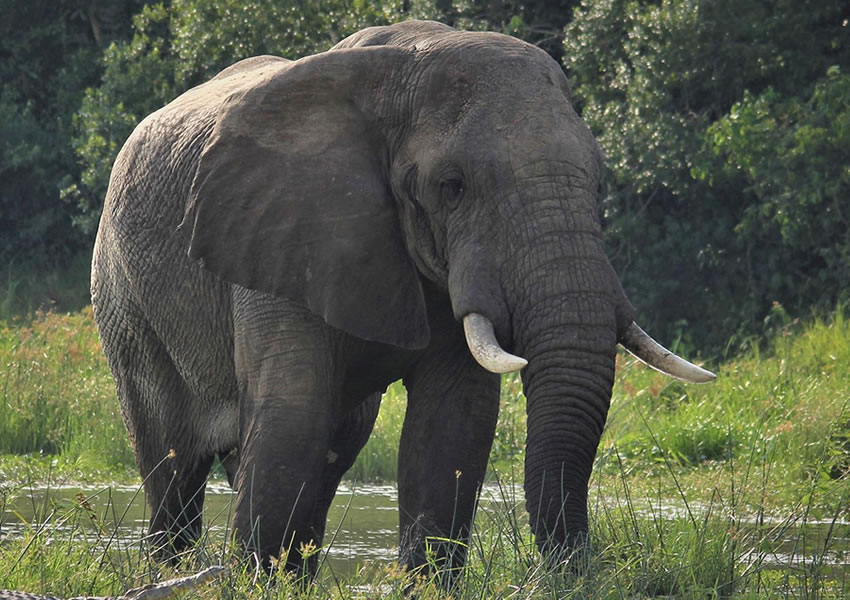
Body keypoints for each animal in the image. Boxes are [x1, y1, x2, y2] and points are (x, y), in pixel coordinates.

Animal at [91, 19, 716, 576]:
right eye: (452, 187)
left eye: (599, 181)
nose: (574, 570)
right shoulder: (285, 234)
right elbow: (294, 412)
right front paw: (255, 582)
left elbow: (453, 422)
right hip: (122, 299)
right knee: (171, 464)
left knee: (329, 452)